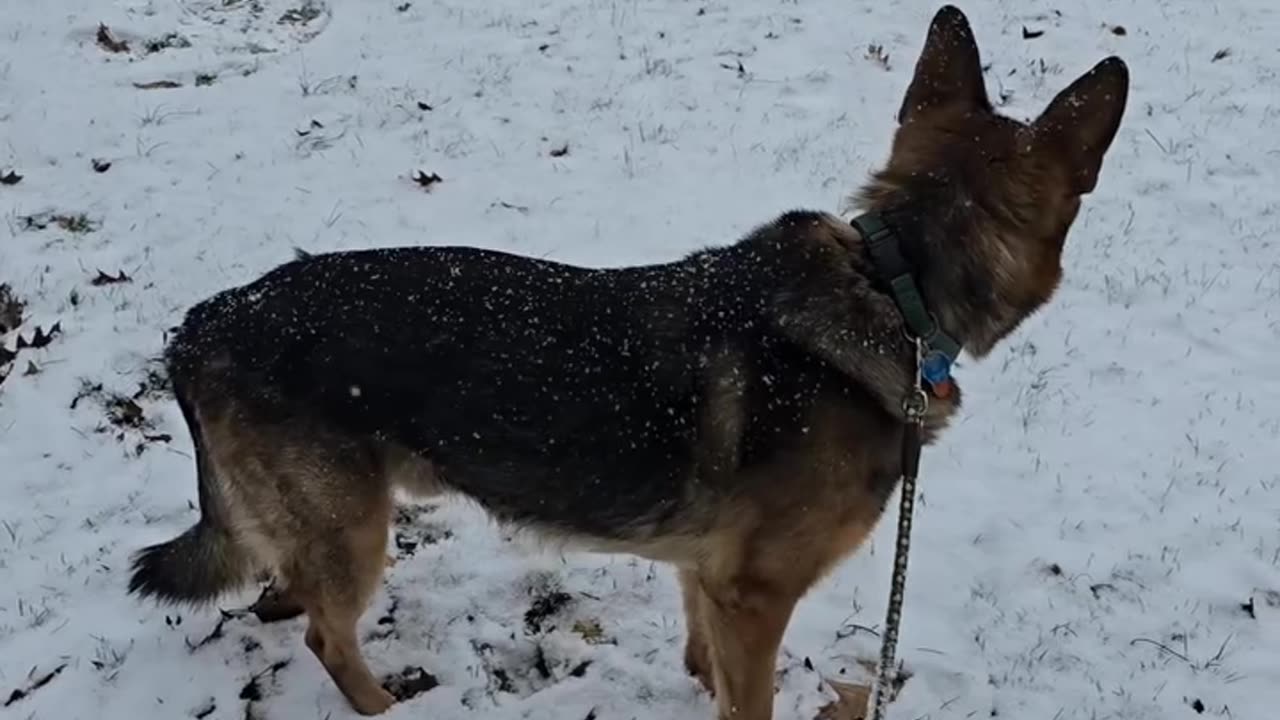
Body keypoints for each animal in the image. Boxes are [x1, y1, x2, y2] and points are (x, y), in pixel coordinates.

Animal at [132, 7, 1131, 717]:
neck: (895, 284)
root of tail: (206, 321)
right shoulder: (756, 594)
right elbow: (749, 697)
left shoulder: (712, 581)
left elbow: (707, 663)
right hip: (353, 533)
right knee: (327, 639)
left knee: (286, 600)